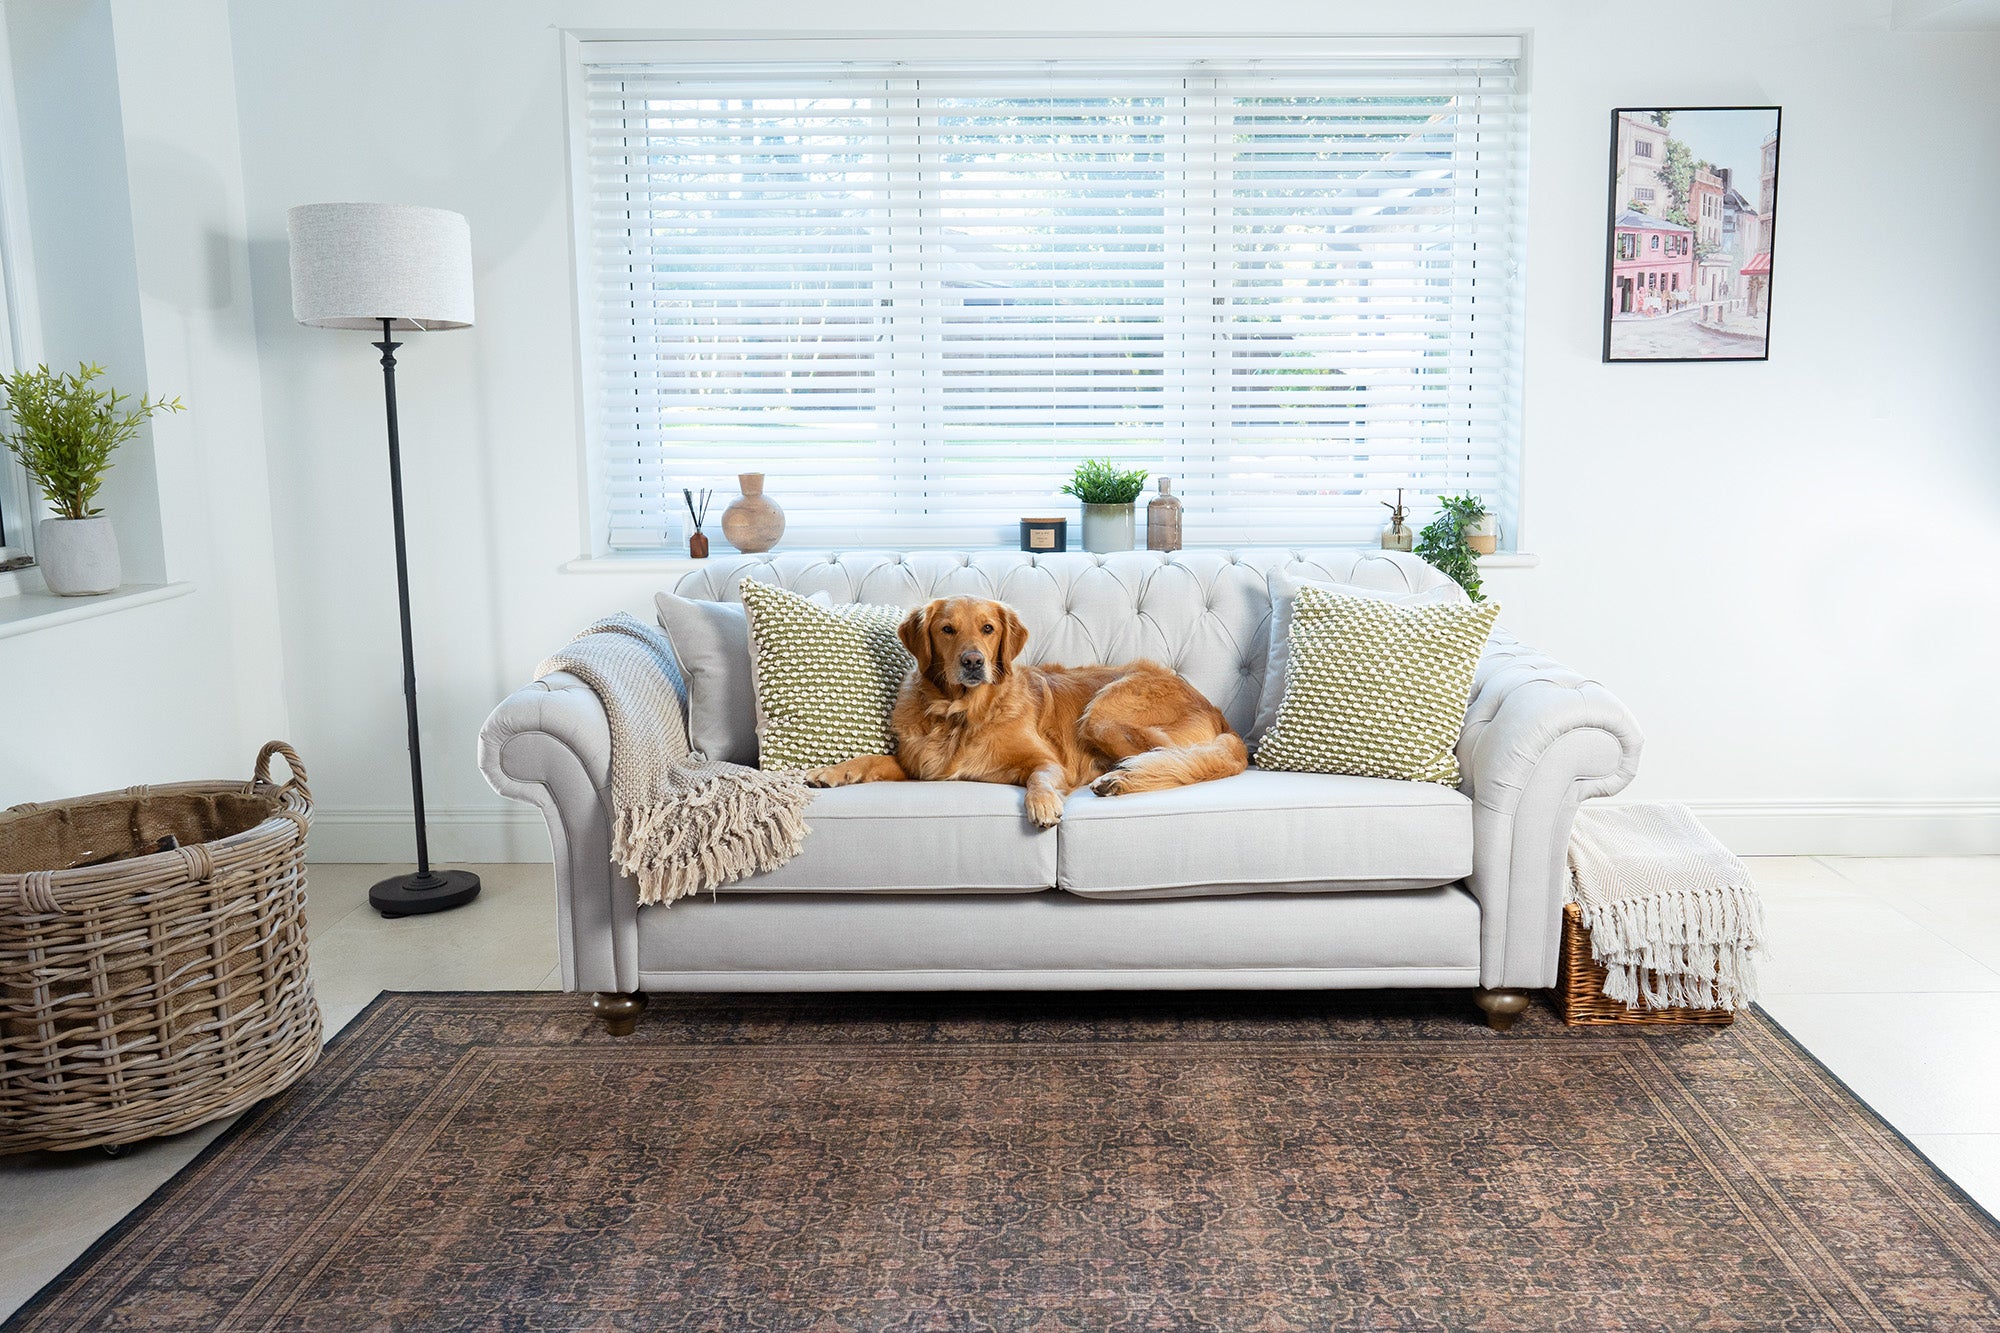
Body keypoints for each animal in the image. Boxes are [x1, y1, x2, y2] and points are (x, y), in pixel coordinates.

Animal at [804, 592, 1240, 820]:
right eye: (947, 629)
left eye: (988, 628)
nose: (973, 661)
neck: (960, 713)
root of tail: (1217, 712)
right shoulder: (920, 767)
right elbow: (873, 759)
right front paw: (832, 771)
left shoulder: (1048, 760)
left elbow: (1039, 778)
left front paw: (1043, 804)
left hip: (1103, 714)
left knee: (1178, 761)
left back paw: (1120, 780)